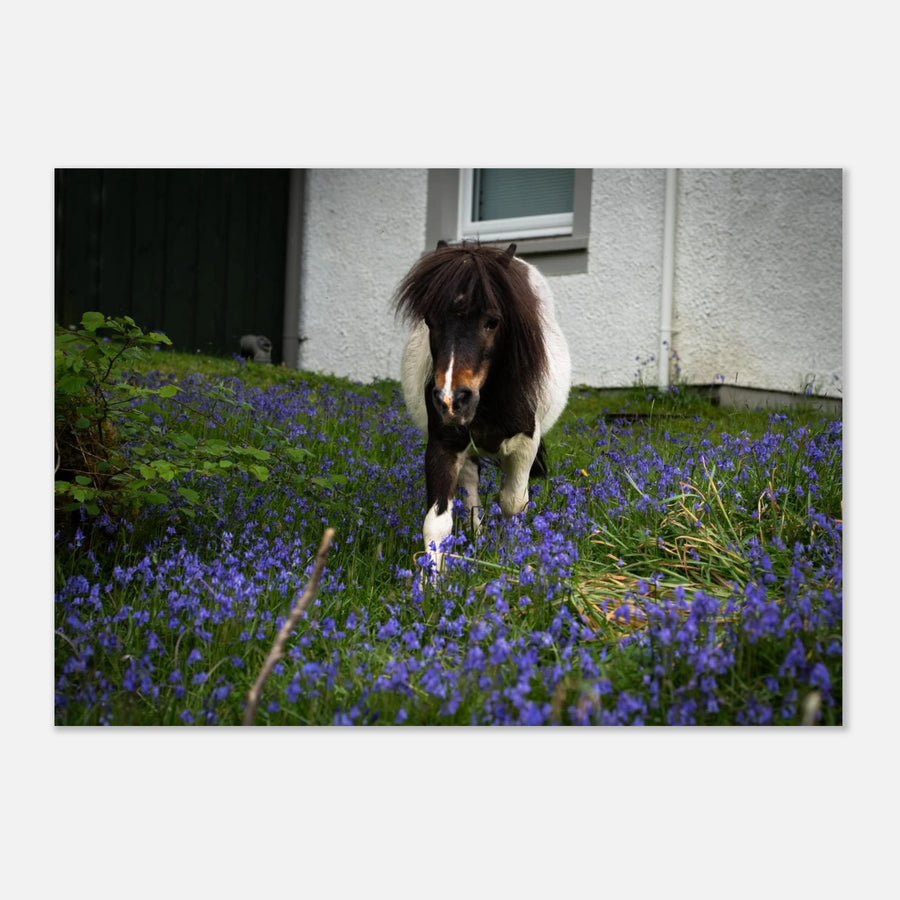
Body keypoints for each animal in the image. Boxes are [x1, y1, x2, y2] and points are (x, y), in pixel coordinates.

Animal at [394, 241, 571, 569]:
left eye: (493, 321)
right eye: (429, 320)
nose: (452, 400)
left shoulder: (525, 445)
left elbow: (513, 503)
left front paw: (511, 554)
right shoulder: (444, 444)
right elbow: (437, 524)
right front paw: (433, 581)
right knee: (470, 490)